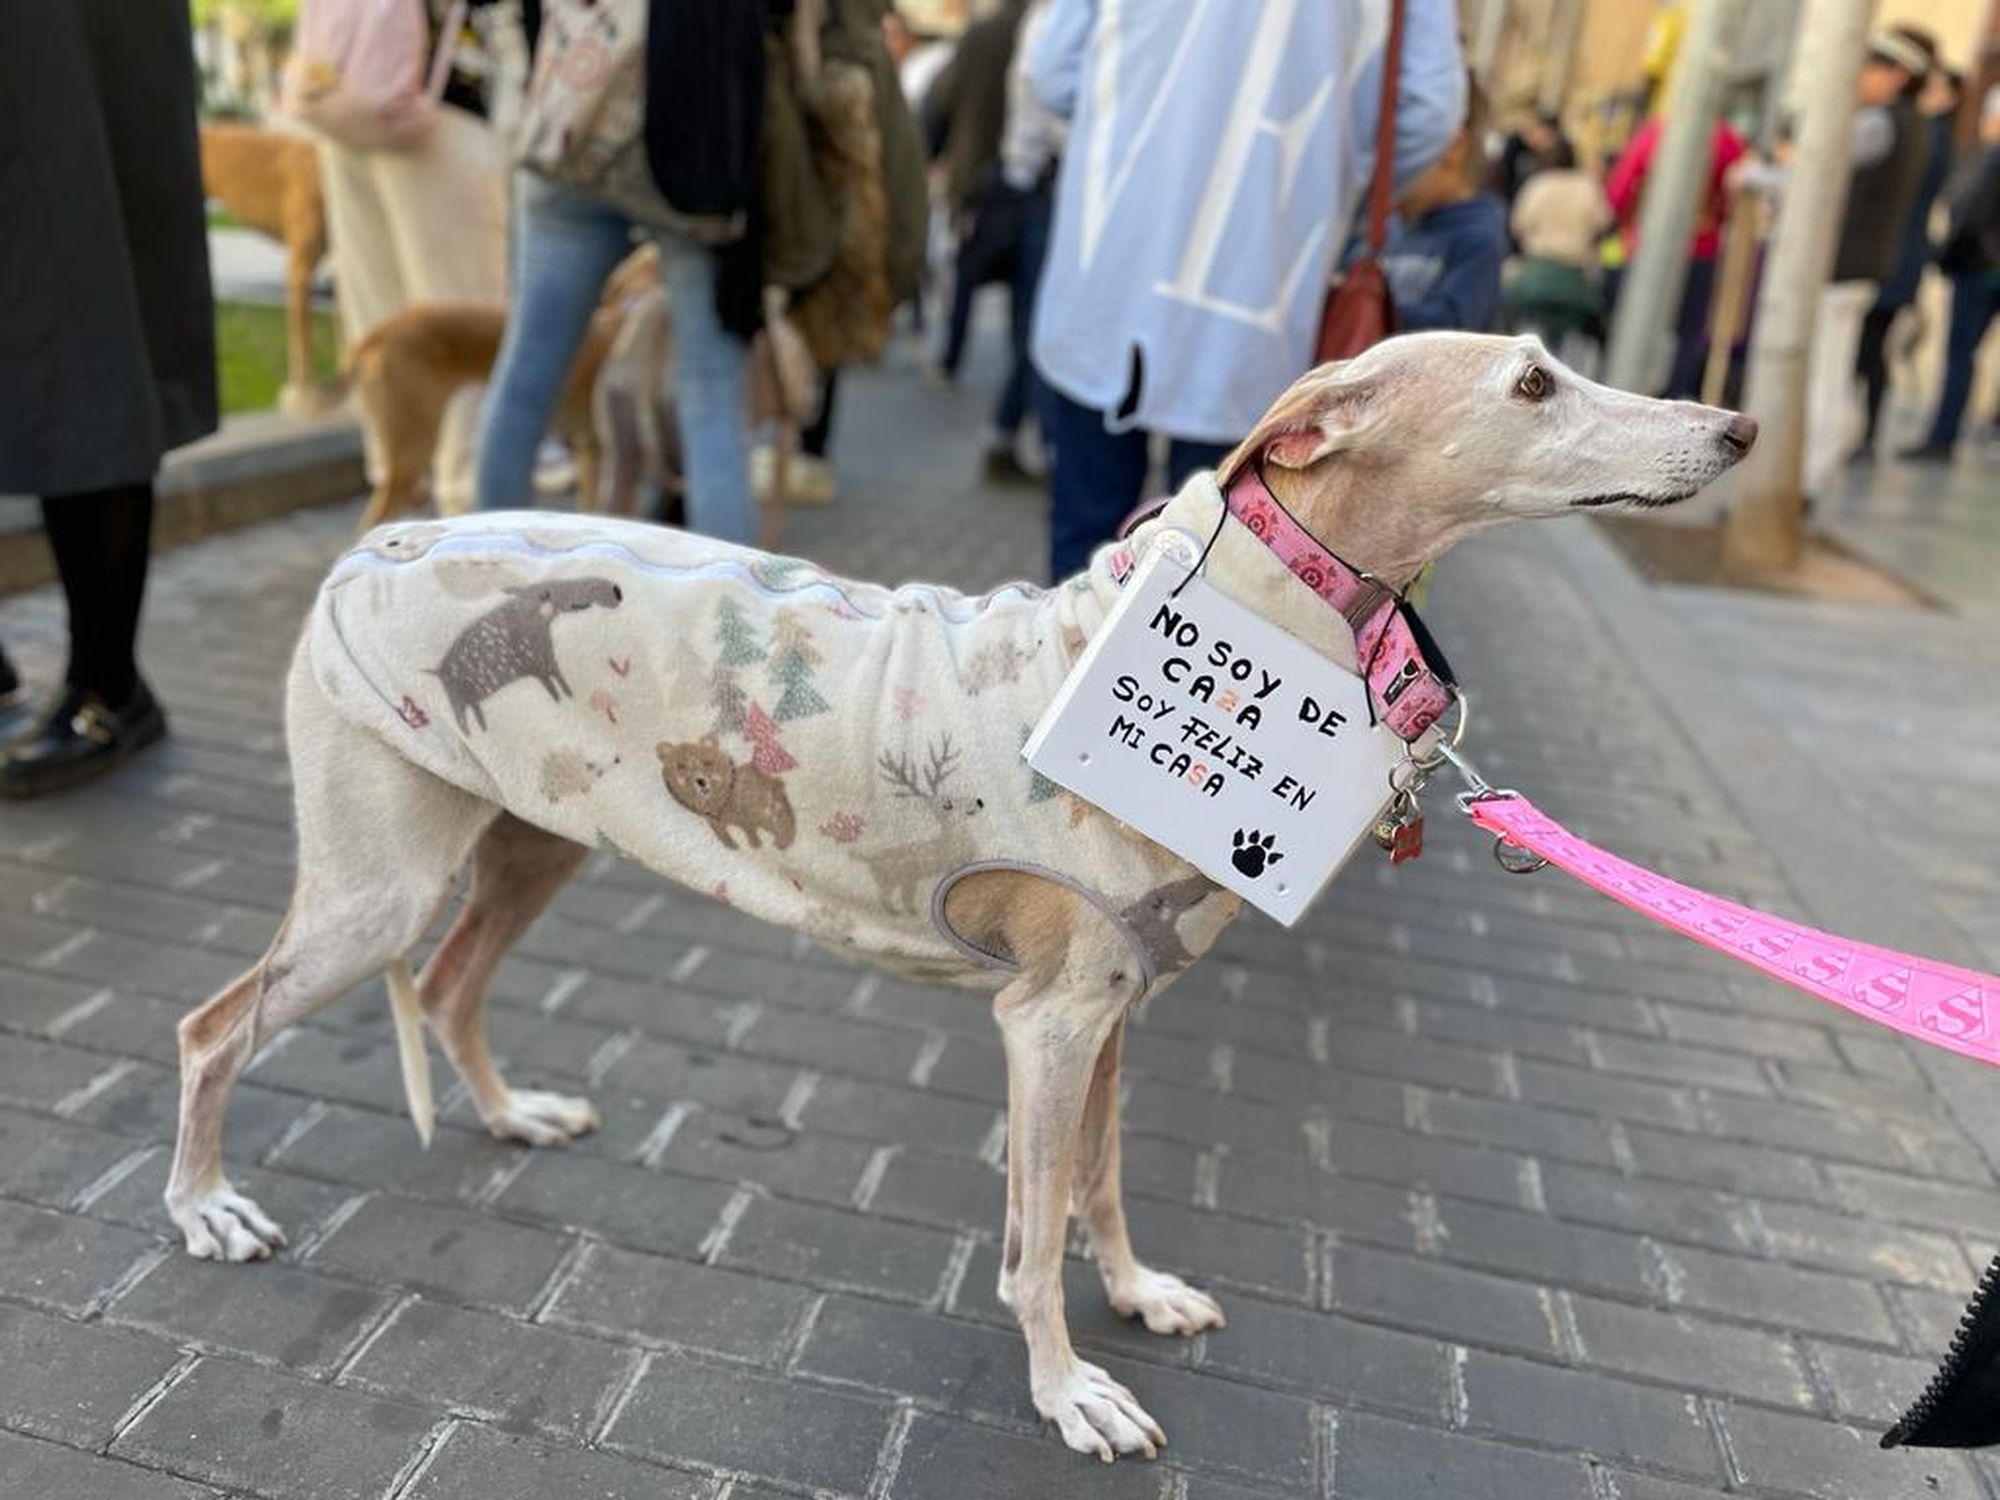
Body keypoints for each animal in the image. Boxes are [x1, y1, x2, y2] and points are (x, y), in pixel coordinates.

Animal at [172, 334, 1760, 1464]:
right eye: (1533, 382)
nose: (1739, 430)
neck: (1263, 622)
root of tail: (369, 547)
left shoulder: (1113, 1010)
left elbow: (1097, 1190)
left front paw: (1140, 1296)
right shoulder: (1043, 1024)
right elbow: (1030, 1238)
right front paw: (1071, 1394)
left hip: (530, 838)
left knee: (446, 985)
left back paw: (511, 1116)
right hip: (383, 883)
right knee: (213, 1026)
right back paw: (206, 1211)